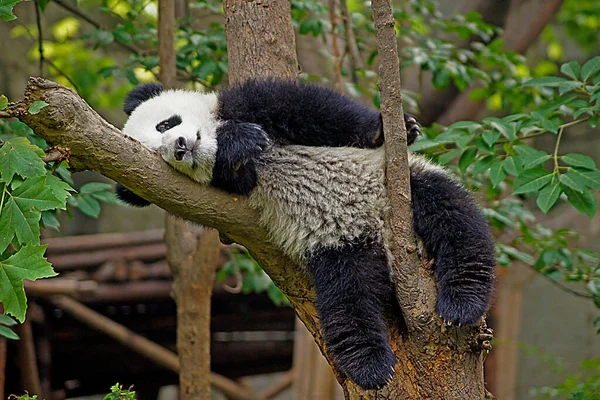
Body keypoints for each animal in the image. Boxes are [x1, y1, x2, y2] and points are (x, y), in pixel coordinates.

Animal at [117, 77, 496, 388]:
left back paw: (462, 301)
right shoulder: (215, 194)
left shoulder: (247, 103)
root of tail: (384, 236)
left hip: (396, 187)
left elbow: (312, 110)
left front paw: (395, 127)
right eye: (159, 154)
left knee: (454, 218)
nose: (181, 147)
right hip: (340, 244)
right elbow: (236, 175)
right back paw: (369, 365)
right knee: (347, 297)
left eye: (166, 124)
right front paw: (239, 141)